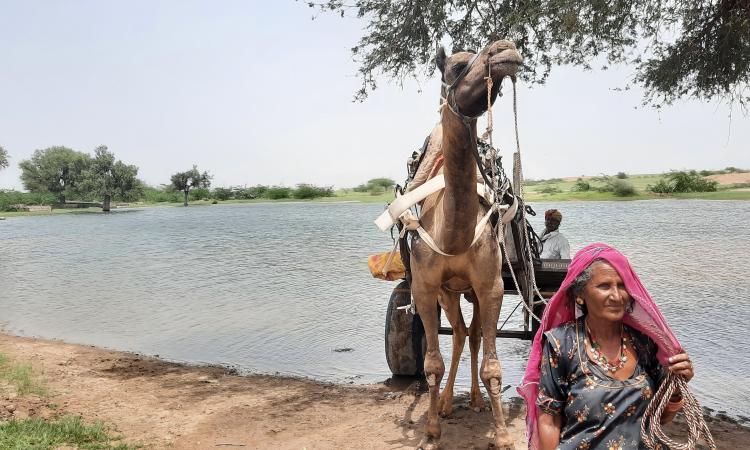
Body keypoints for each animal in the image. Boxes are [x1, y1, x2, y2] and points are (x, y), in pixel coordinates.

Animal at [412, 39, 524, 450]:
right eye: (457, 67)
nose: (505, 50)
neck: (453, 234)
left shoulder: (490, 285)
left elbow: (492, 363)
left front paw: (503, 434)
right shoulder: (425, 286)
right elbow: (431, 362)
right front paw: (431, 429)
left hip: (470, 291)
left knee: (471, 335)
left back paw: (474, 401)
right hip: (448, 291)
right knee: (459, 334)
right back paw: (445, 404)